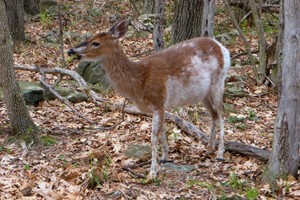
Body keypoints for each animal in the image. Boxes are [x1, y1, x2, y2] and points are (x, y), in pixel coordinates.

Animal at [68, 19, 231, 180]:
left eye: (95, 43)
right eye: (89, 37)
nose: (71, 51)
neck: (139, 79)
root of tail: (223, 48)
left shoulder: (158, 100)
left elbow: (153, 137)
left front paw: (152, 172)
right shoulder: (160, 105)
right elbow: (162, 131)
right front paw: (165, 157)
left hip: (218, 81)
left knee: (222, 113)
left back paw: (220, 154)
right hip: (204, 93)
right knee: (214, 114)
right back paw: (209, 149)